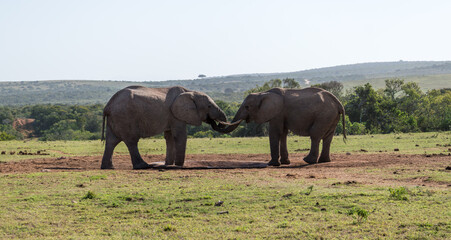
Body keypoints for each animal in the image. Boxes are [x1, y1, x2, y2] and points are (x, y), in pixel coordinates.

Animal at [100, 86, 228, 169]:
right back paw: (143, 166)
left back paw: (108, 167)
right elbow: (179, 136)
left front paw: (169, 164)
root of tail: (108, 106)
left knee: (111, 141)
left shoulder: (171, 117)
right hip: (125, 117)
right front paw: (178, 165)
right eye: (209, 106)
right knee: (131, 141)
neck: (190, 92)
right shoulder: (176, 115)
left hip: (116, 119)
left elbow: (169, 137)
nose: (214, 121)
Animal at [214, 87, 348, 166]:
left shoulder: (277, 113)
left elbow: (275, 133)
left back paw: (308, 161)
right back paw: (324, 161)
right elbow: (283, 134)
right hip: (331, 116)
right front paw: (285, 162)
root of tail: (338, 103)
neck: (262, 93)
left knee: (315, 135)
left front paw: (272, 164)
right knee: (328, 138)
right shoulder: (281, 115)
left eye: (247, 107)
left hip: (324, 115)